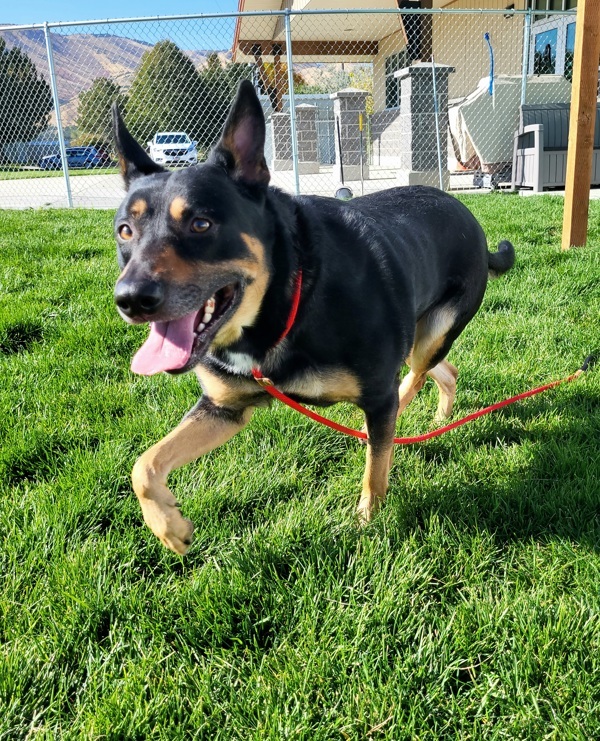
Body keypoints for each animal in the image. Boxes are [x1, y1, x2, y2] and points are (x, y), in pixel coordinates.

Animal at [112, 81, 516, 556]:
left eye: (200, 224)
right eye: (125, 231)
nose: (129, 299)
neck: (287, 301)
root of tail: (472, 220)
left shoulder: (375, 395)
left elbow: (374, 472)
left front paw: (366, 523)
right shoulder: (225, 407)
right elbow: (143, 465)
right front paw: (169, 527)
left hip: (432, 335)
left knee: (411, 382)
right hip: (423, 338)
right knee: (443, 373)